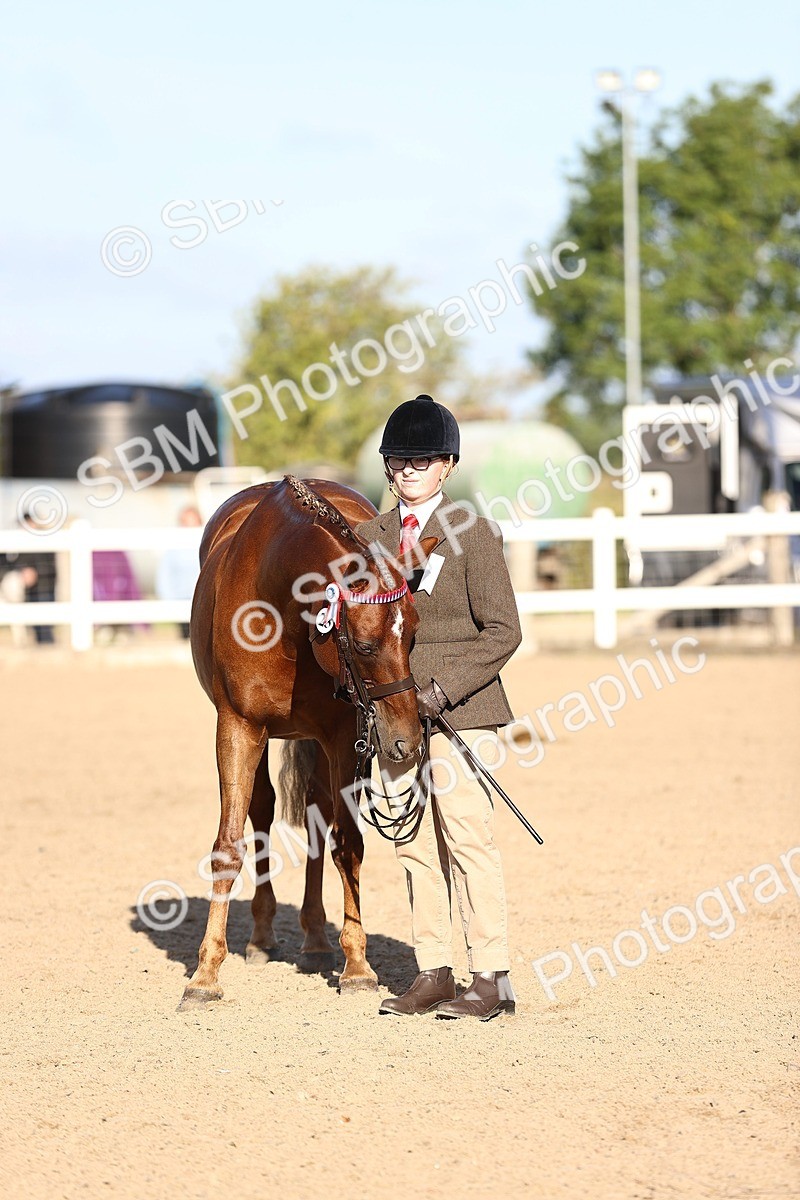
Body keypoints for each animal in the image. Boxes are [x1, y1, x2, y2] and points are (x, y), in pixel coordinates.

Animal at [180, 475, 436, 1008]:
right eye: (363, 645)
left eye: (413, 638)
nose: (407, 741)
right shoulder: (236, 726)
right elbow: (229, 845)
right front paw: (205, 974)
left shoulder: (342, 733)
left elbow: (348, 843)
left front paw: (357, 966)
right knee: (261, 811)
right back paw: (260, 937)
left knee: (318, 815)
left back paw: (317, 938)